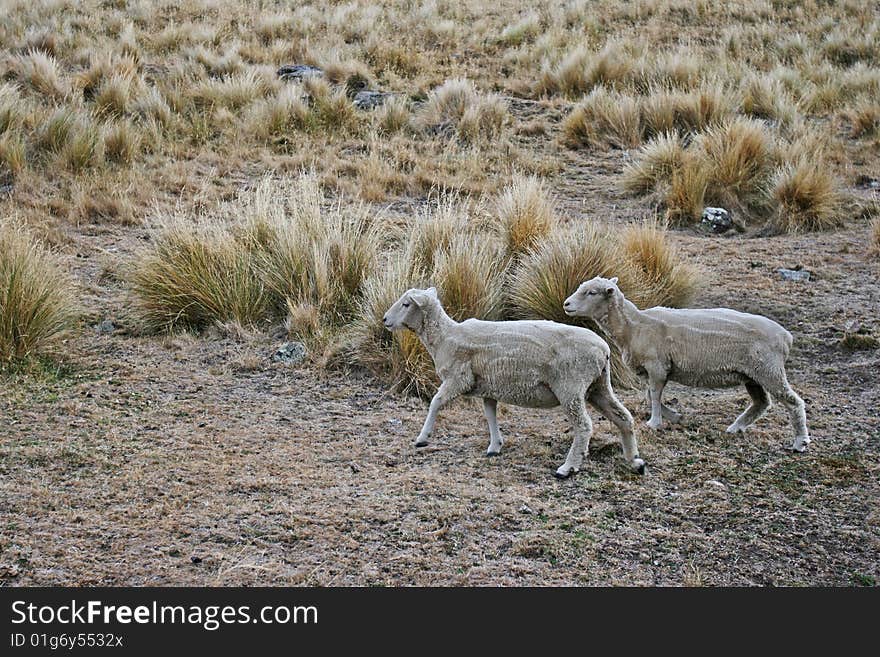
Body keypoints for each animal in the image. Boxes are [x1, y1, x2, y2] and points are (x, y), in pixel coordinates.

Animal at [380, 288, 648, 476]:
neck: (445, 337)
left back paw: (568, 467)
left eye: (406, 304)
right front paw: (495, 446)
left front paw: (422, 438)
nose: (384, 320)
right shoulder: (488, 385)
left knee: (584, 426)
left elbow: (435, 402)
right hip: (598, 385)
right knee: (623, 417)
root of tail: (604, 349)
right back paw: (635, 461)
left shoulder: (458, 379)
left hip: (570, 385)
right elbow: (490, 413)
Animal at [564, 276, 812, 452]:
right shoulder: (650, 370)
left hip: (769, 370)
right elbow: (650, 396)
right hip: (752, 375)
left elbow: (654, 395)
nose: (566, 304)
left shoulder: (658, 366)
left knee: (793, 402)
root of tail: (786, 336)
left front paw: (654, 422)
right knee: (761, 403)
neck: (634, 326)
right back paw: (736, 427)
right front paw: (674, 417)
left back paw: (800, 441)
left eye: (591, 292)